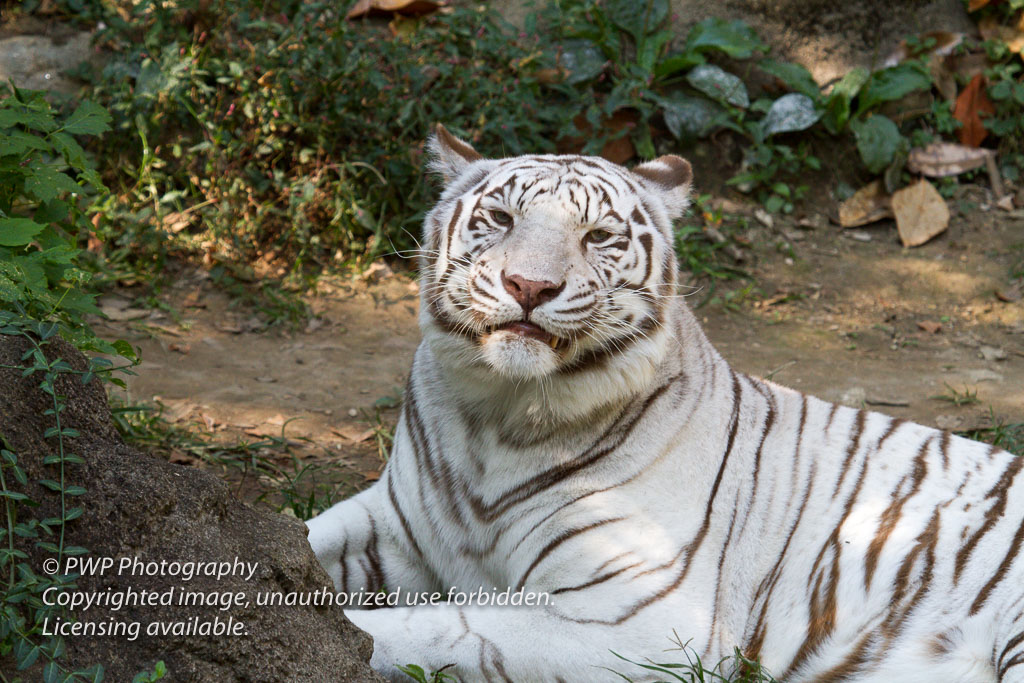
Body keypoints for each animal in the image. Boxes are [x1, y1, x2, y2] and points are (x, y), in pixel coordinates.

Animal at [307, 125, 1024, 679]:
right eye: (502, 219)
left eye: (597, 236)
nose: (529, 285)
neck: (500, 413)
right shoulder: (393, 523)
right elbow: (306, 539)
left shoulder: (641, 619)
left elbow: (433, 627)